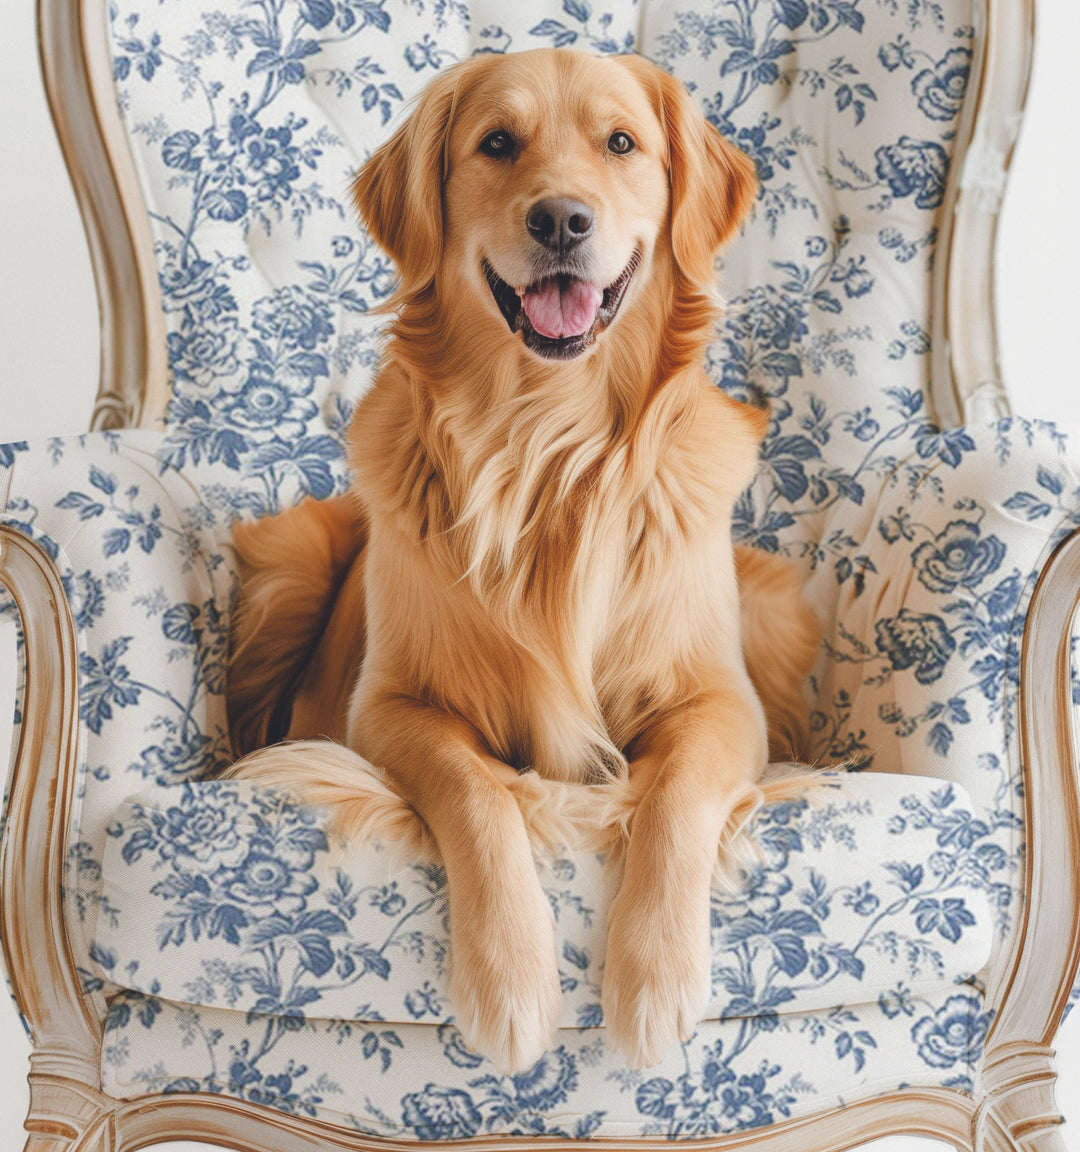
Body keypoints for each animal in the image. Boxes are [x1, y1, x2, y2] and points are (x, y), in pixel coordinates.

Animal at [226, 44, 815, 1069]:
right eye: (497, 143)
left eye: (621, 144)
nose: (562, 220)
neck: (550, 445)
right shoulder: (387, 707)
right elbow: (477, 791)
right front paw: (509, 979)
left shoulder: (722, 704)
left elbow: (674, 798)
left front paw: (656, 979)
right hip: (288, 562)